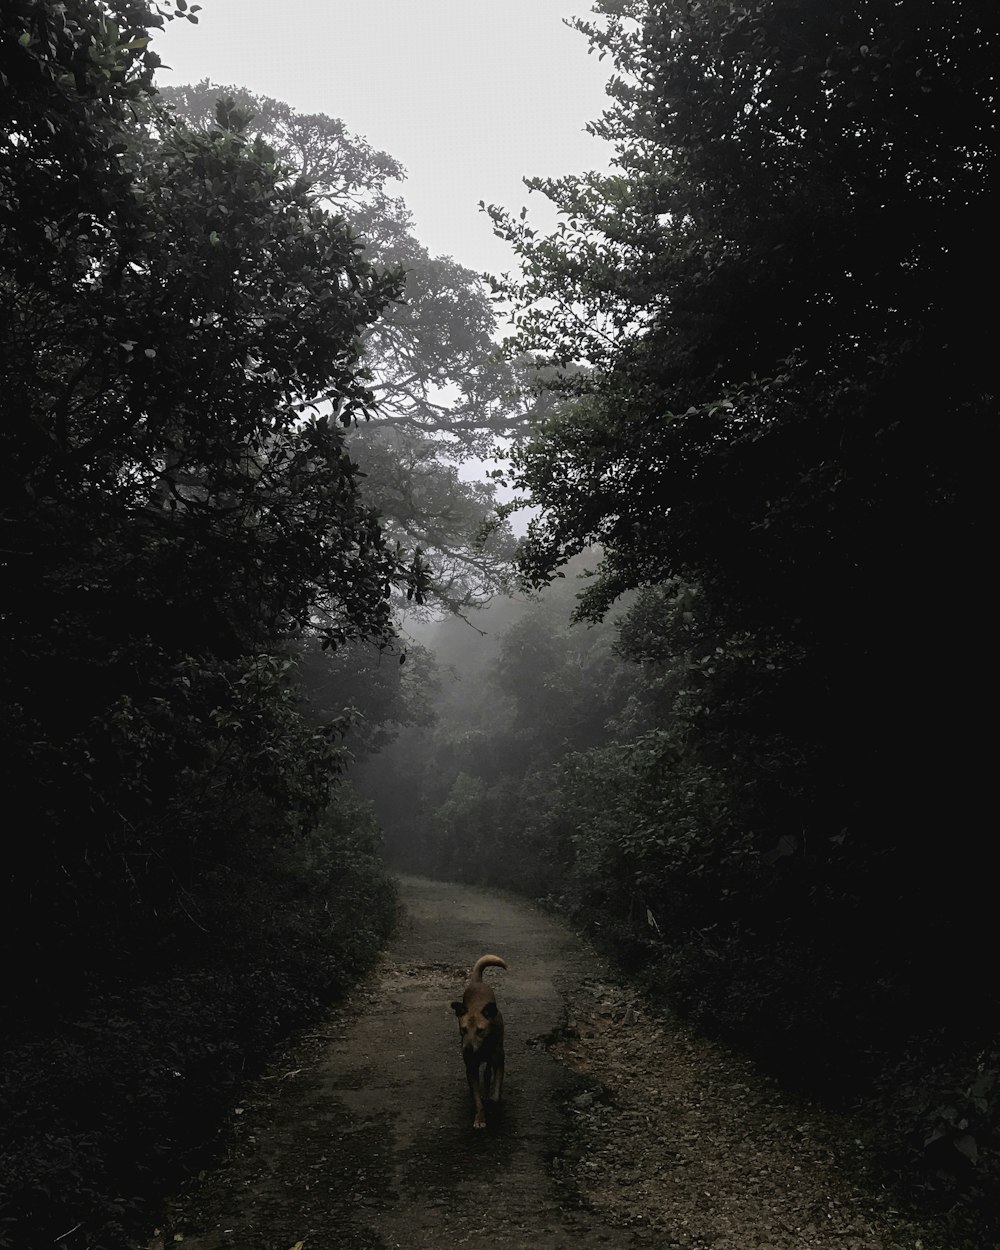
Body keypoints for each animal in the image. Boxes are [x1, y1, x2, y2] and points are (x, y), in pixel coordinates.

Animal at [452, 955, 507, 1135]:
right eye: (463, 1030)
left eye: (480, 1031)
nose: (467, 1051)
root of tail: (477, 982)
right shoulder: (471, 1067)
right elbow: (477, 1099)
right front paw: (480, 1118)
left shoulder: (499, 1062)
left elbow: (496, 1093)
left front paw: (494, 1104)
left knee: (488, 1070)